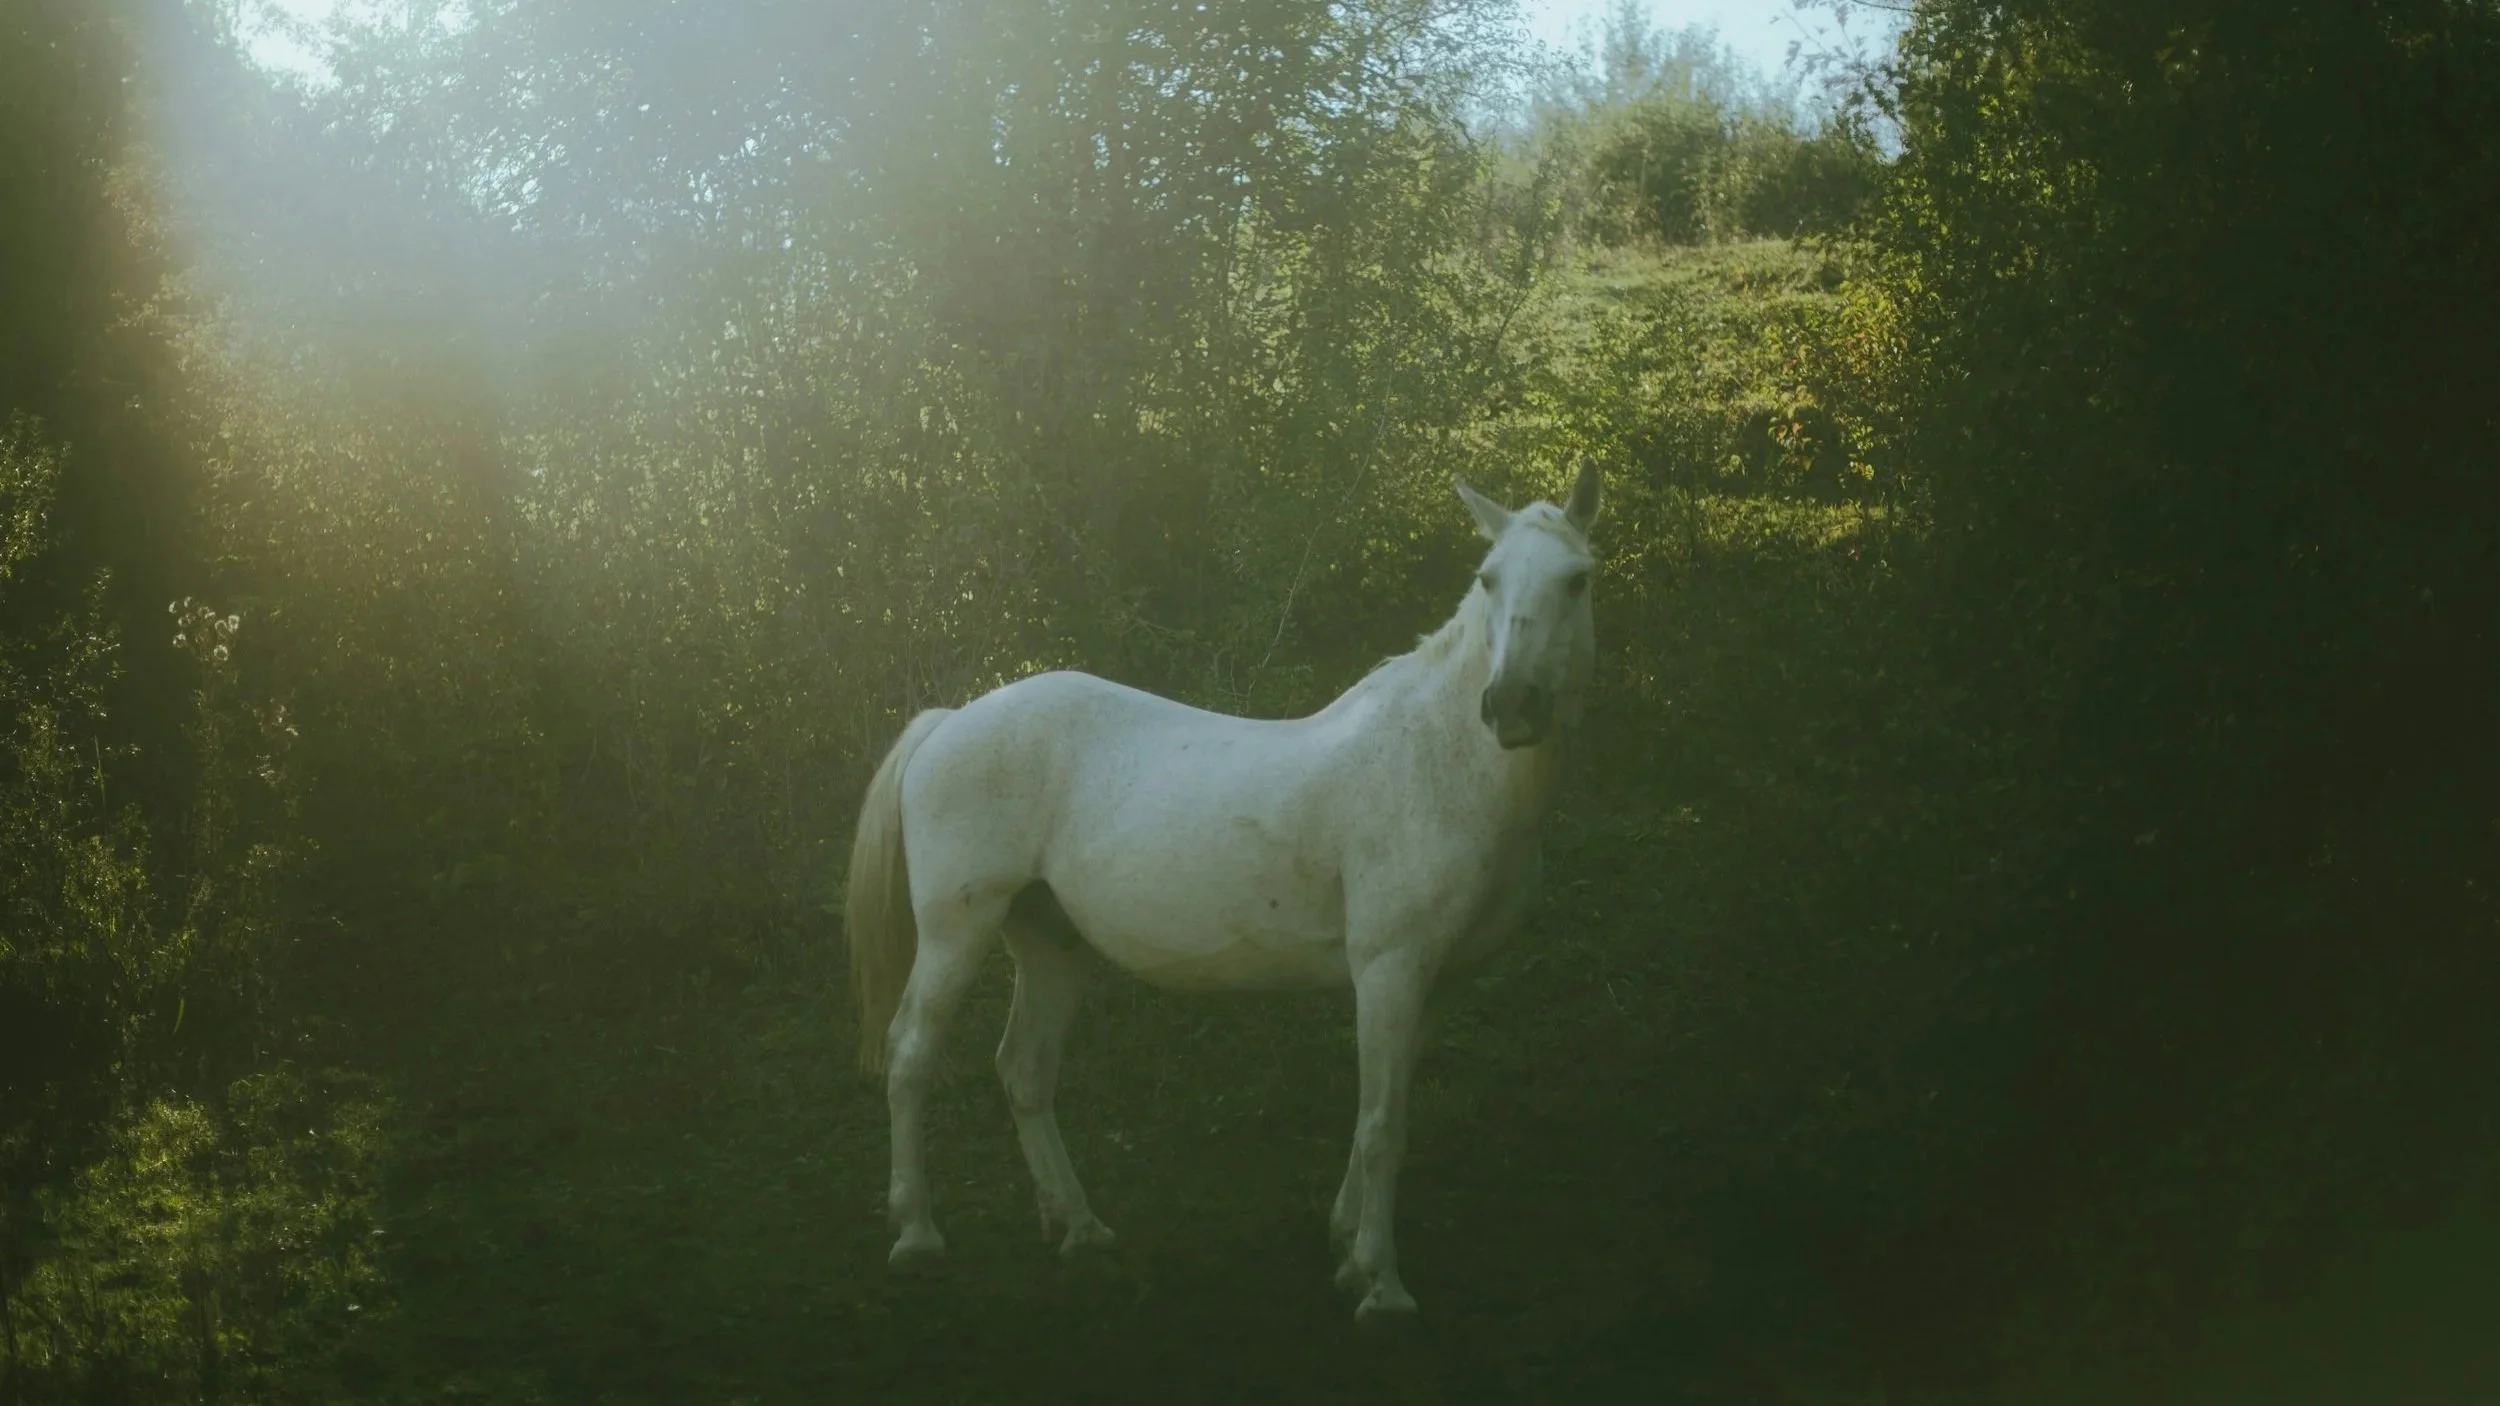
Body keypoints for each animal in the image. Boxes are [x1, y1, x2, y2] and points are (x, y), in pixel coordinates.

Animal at [845, 461, 1601, 1322]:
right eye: (1489, 577)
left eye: (1577, 579)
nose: (1511, 706)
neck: (1436, 764)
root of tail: (950, 721)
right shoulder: (1390, 968)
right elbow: (1382, 1127)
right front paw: (1381, 1284)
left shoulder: (1433, 982)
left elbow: (1383, 1111)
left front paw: (1346, 1247)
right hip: (954, 931)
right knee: (911, 1054)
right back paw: (917, 1235)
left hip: (1050, 942)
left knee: (1024, 1069)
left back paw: (1081, 1229)